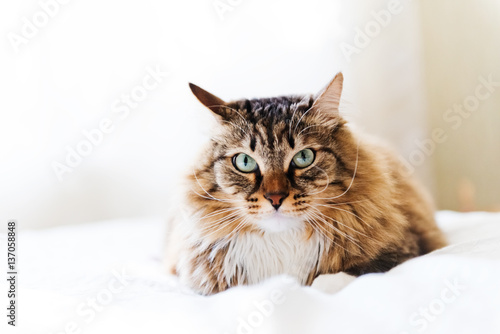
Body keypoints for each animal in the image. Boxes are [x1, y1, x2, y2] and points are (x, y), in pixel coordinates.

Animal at [166, 72, 448, 294]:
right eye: (245, 162)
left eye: (304, 158)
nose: (275, 198)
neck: (281, 244)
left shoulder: (404, 250)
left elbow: (335, 279)